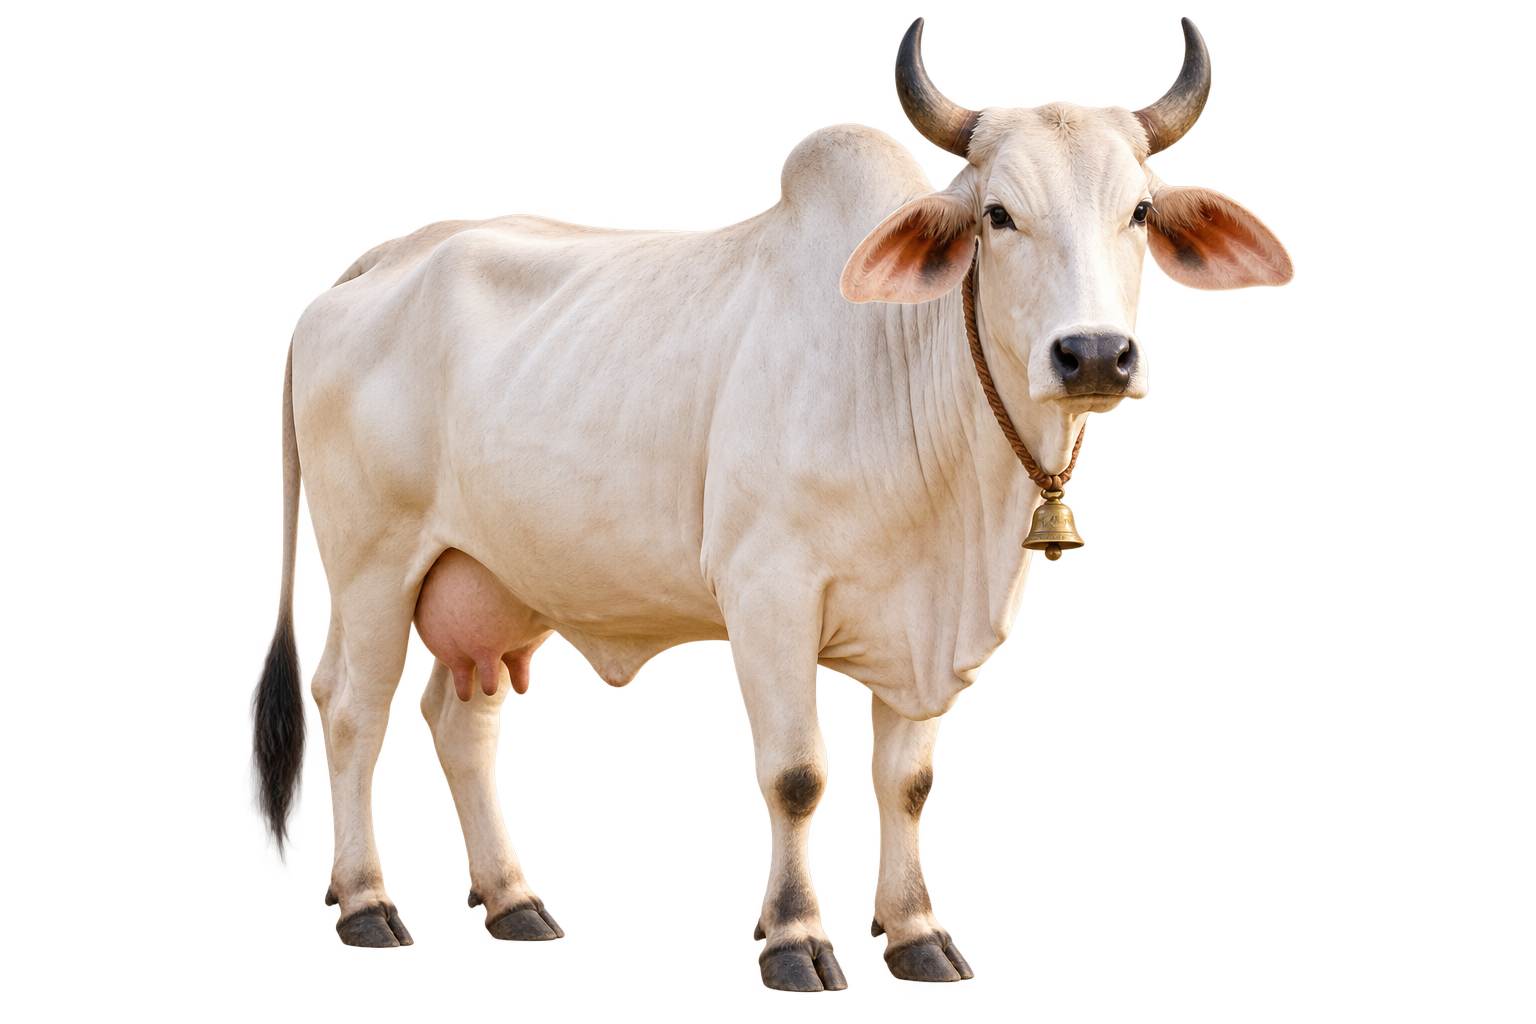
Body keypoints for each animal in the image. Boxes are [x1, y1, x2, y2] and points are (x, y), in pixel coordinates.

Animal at [252, 17, 1292, 992]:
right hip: (372, 566)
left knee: (462, 724)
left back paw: (513, 900)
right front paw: (795, 938)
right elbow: (797, 777)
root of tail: (383, 257)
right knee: (350, 709)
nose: (1094, 355)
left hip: (496, 579)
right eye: (998, 213)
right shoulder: (769, 597)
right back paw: (366, 901)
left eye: (1141, 210)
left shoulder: (926, 630)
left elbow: (909, 783)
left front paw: (916, 932)